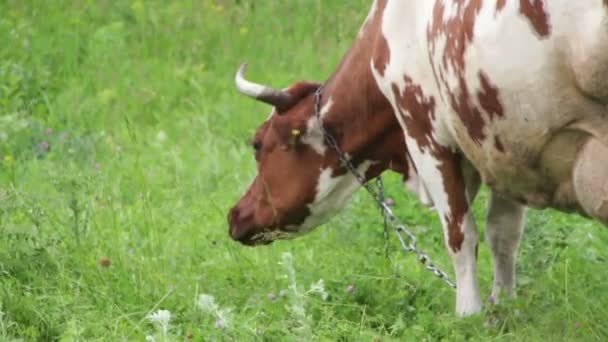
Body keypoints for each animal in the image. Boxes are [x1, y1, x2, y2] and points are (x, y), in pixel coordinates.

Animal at [227, 0, 608, 316]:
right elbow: (503, 235)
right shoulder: (502, 145)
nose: (235, 215)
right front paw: (503, 304)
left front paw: (469, 314)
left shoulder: (425, 134)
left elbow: (460, 235)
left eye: (257, 144)